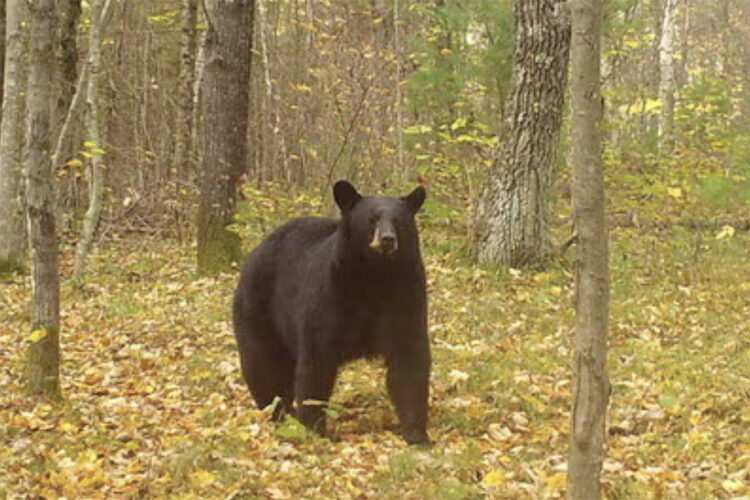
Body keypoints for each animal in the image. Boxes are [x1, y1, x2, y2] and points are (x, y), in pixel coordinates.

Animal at [232, 180, 430, 445]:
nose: (387, 239)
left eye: (398, 220)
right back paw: (279, 414)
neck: (376, 278)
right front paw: (315, 429)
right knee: (263, 364)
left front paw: (416, 433)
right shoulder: (330, 297)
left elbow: (410, 359)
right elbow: (316, 363)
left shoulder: (406, 298)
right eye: (372, 219)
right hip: (258, 307)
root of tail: (257, 249)